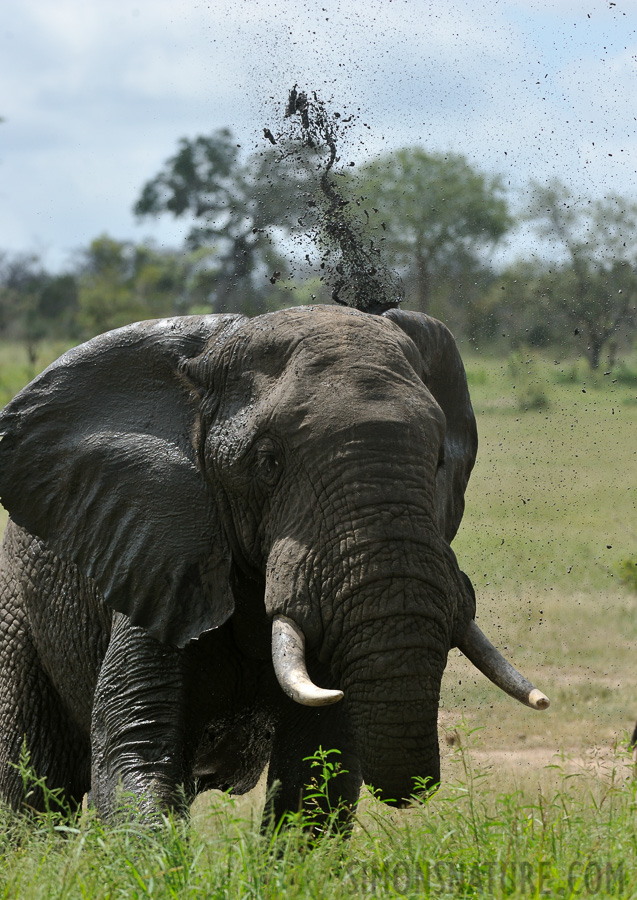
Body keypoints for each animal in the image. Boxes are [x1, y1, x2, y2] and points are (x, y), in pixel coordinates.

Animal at [0, 306, 548, 828]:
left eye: (438, 461)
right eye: (268, 463)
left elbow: (319, 768)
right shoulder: (161, 553)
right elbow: (132, 752)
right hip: (16, 610)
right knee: (35, 790)